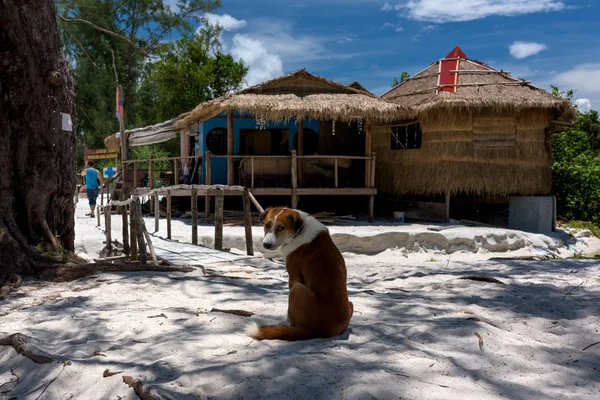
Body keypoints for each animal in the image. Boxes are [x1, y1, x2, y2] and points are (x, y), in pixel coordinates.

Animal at [246, 208, 354, 342]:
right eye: (267, 225)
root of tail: (314, 333)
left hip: (298, 289)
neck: (299, 230)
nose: (266, 245)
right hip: (351, 303)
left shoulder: (293, 277)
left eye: (280, 228)